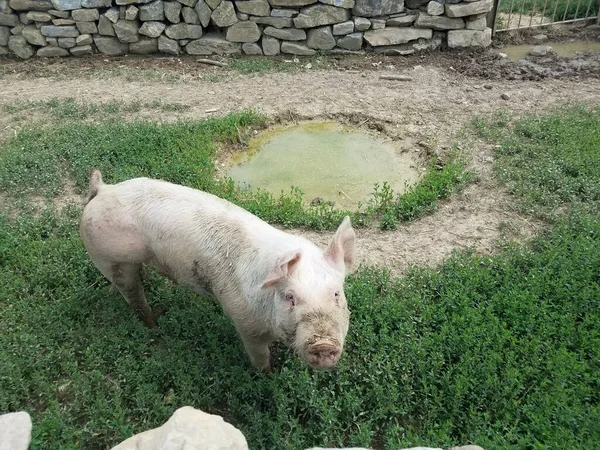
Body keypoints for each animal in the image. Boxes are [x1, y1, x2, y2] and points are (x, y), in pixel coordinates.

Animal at [79, 171, 356, 370]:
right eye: (290, 297)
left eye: (336, 294)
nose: (323, 344)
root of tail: (103, 189)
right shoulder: (246, 324)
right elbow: (260, 357)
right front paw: (266, 375)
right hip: (108, 257)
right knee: (133, 296)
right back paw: (155, 325)